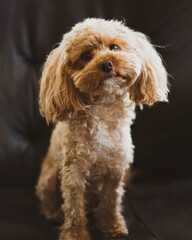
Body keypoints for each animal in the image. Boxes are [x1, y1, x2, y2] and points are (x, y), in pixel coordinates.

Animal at [36, 17, 168, 239]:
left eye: (114, 47)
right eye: (86, 56)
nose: (106, 63)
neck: (103, 112)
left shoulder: (115, 170)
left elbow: (110, 201)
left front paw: (112, 226)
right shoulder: (73, 172)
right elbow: (74, 207)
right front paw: (75, 234)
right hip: (49, 178)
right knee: (49, 199)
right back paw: (53, 213)